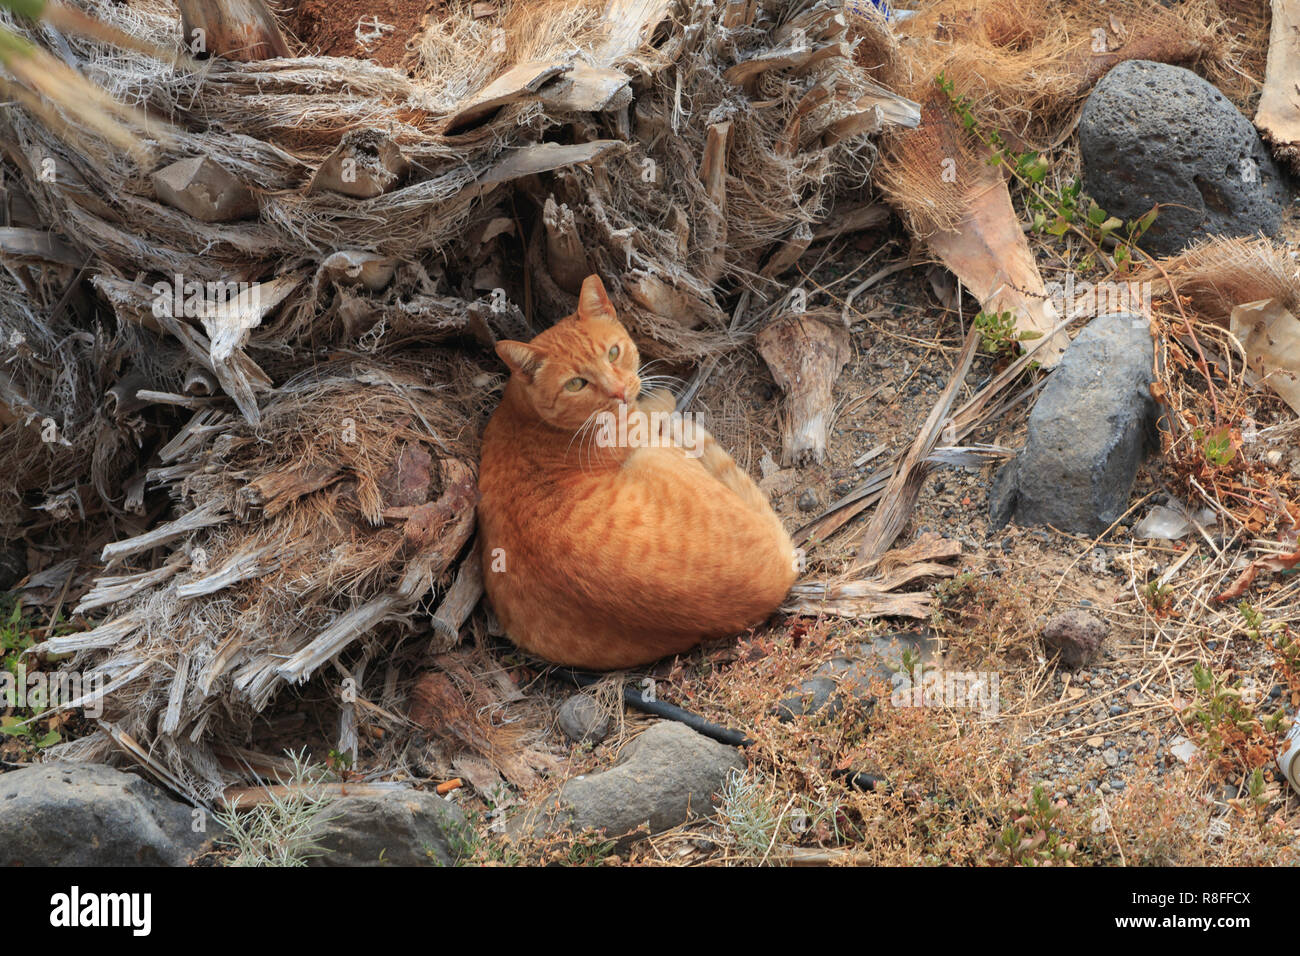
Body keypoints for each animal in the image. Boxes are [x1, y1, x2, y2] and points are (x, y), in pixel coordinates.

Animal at [478, 273, 795, 671]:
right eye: (576, 384)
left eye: (613, 353)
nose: (618, 392)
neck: (526, 417)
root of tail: (778, 579)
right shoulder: (638, 426)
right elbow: (657, 405)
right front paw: (660, 397)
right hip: (651, 453)